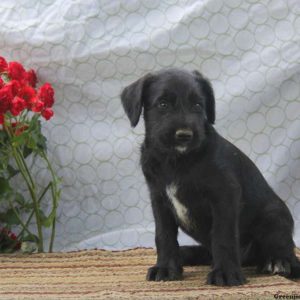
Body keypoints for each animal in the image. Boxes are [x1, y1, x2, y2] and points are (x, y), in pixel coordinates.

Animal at [120, 68, 300, 286]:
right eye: (163, 104)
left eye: (198, 105)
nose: (184, 135)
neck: (177, 161)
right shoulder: (159, 199)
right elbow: (164, 235)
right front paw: (165, 268)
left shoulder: (225, 195)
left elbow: (222, 236)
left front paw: (226, 272)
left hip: (273, 216)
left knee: (285, 251)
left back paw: (278, 262)